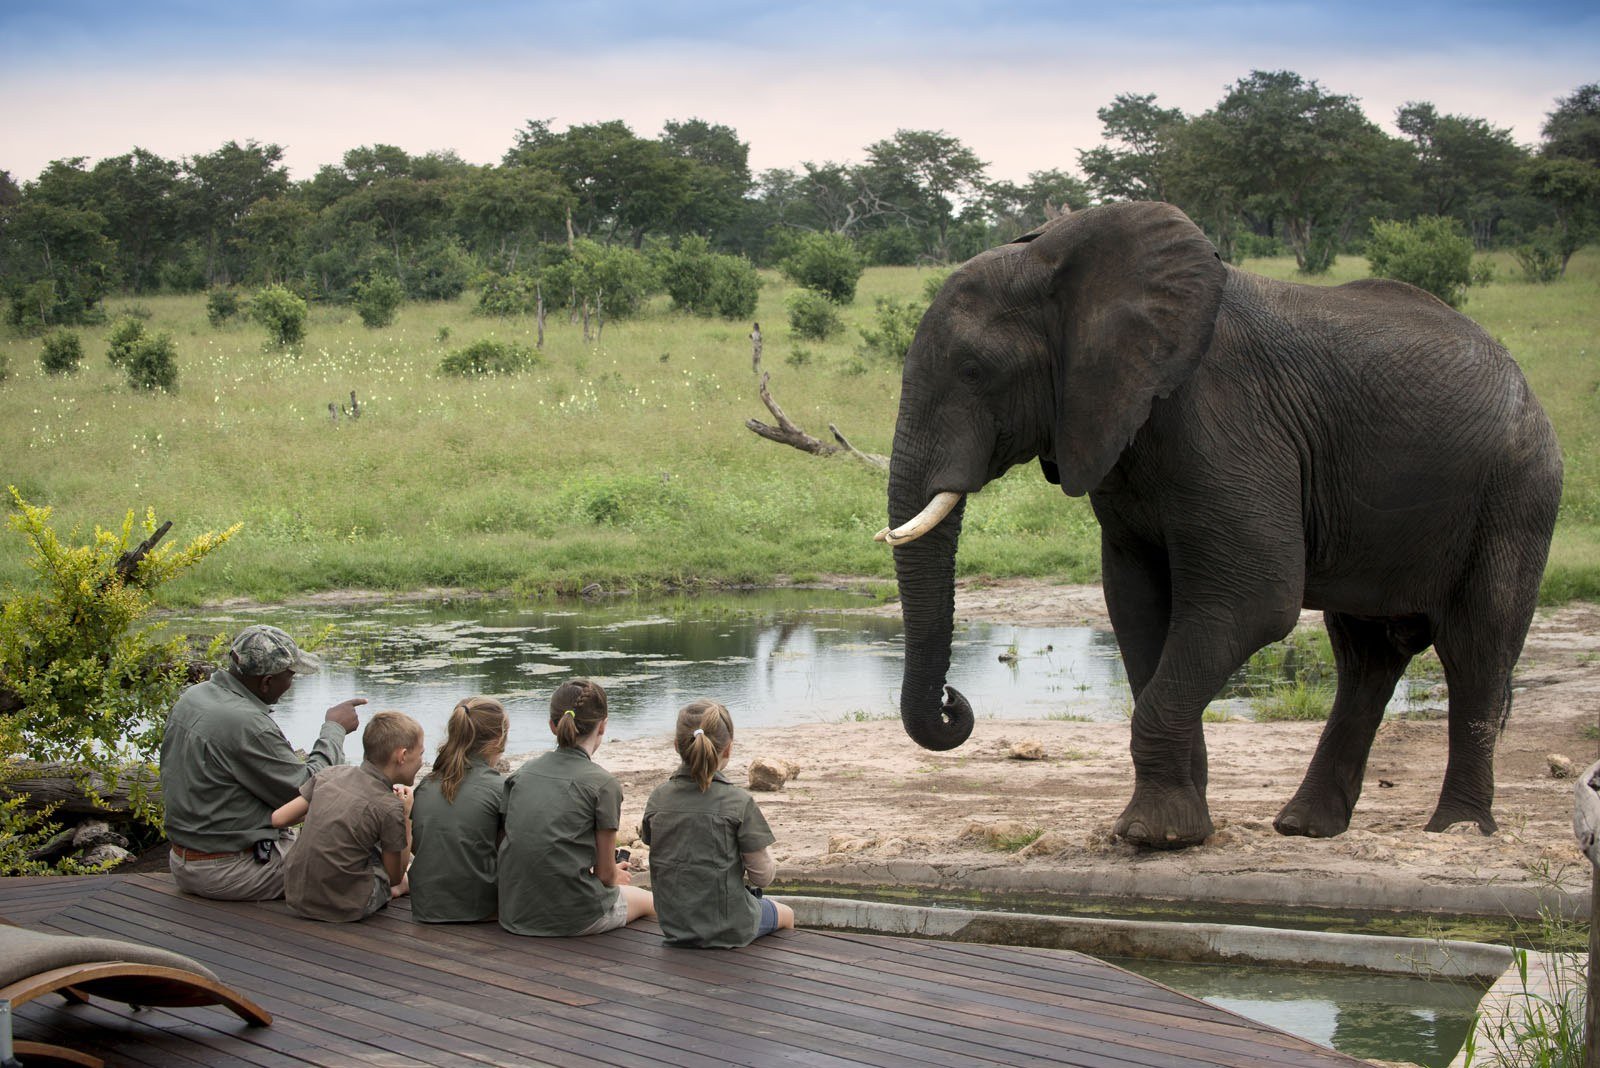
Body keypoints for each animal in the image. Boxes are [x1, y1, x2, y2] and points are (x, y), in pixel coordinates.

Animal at [880, 201, 1562, 850]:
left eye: (974, 371)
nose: (954, 701)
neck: (1057, 258)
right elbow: (1137, 607)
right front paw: (1182, 831)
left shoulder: (1227, 418)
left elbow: (1254, 601)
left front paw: (1153, 837)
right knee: (1366, 656)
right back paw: (1305, 827)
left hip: (1518, 491)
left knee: (1477, 646)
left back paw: (1459, 830)